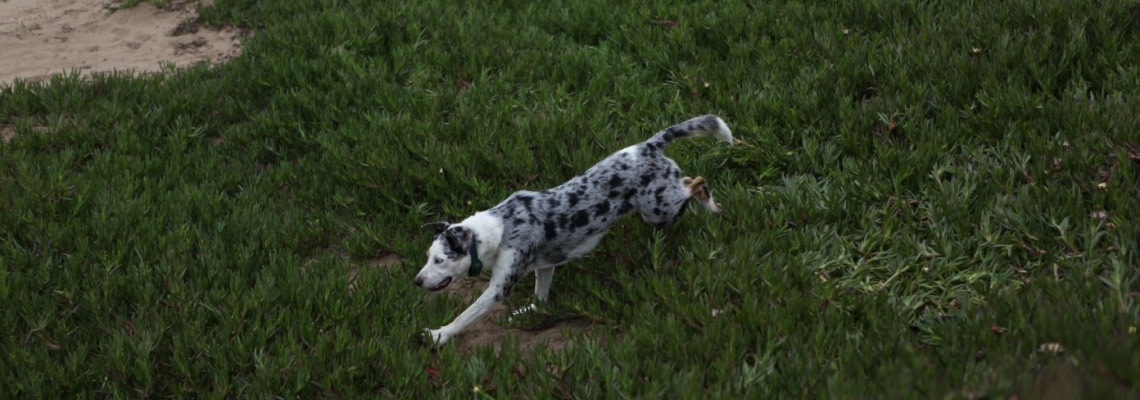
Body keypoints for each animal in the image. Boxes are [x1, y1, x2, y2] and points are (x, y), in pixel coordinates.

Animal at [414, 116, 734, 348]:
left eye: (440, 260)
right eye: (428, 255)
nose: (416, 281)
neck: (499, 229)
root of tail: (649, 145)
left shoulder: (498, 288)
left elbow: (466, 316)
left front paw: (439, 335)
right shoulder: (544, 266)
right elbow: (540, 300)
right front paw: (531, 313)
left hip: (659, 211)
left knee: (697, 183)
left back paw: (713, 208)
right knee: (690, 179)